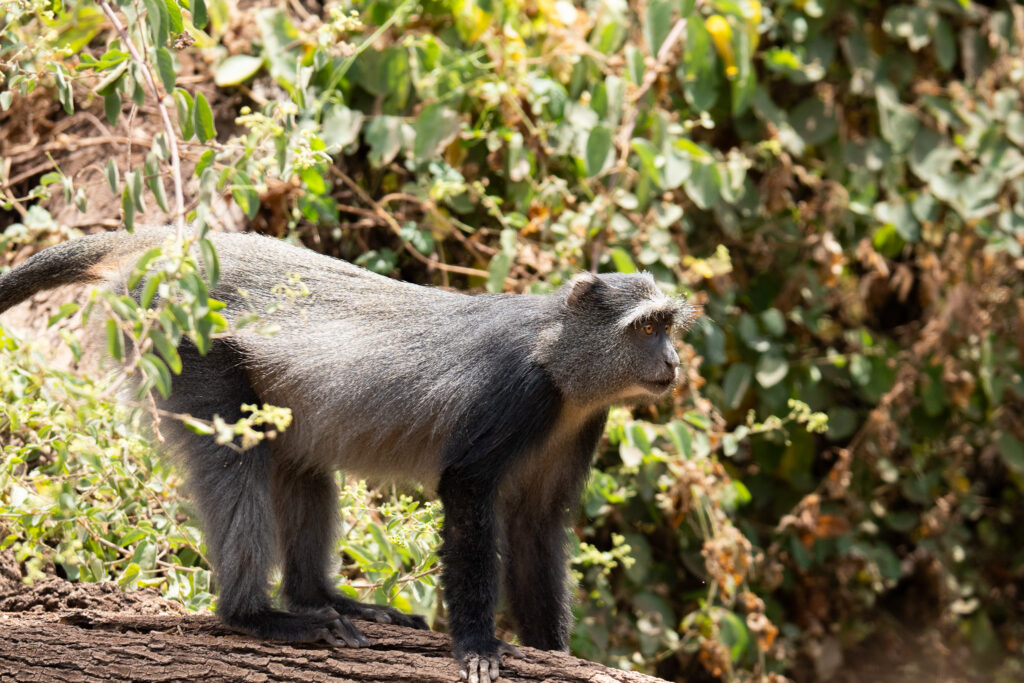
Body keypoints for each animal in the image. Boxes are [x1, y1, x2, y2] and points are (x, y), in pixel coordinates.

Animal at [0, 228, 692, 681]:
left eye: (666, 326)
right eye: (646, 327)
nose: (673, 363)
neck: (559, 358)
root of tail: (171, 246)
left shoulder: (582, 422)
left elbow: (537, 525)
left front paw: (555, 651)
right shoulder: (516, 394)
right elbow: (468, 491)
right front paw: (477, 645)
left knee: (301, 466)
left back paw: (322, 598)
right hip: (184, 340)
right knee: (235, 460)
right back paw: (254, 616)